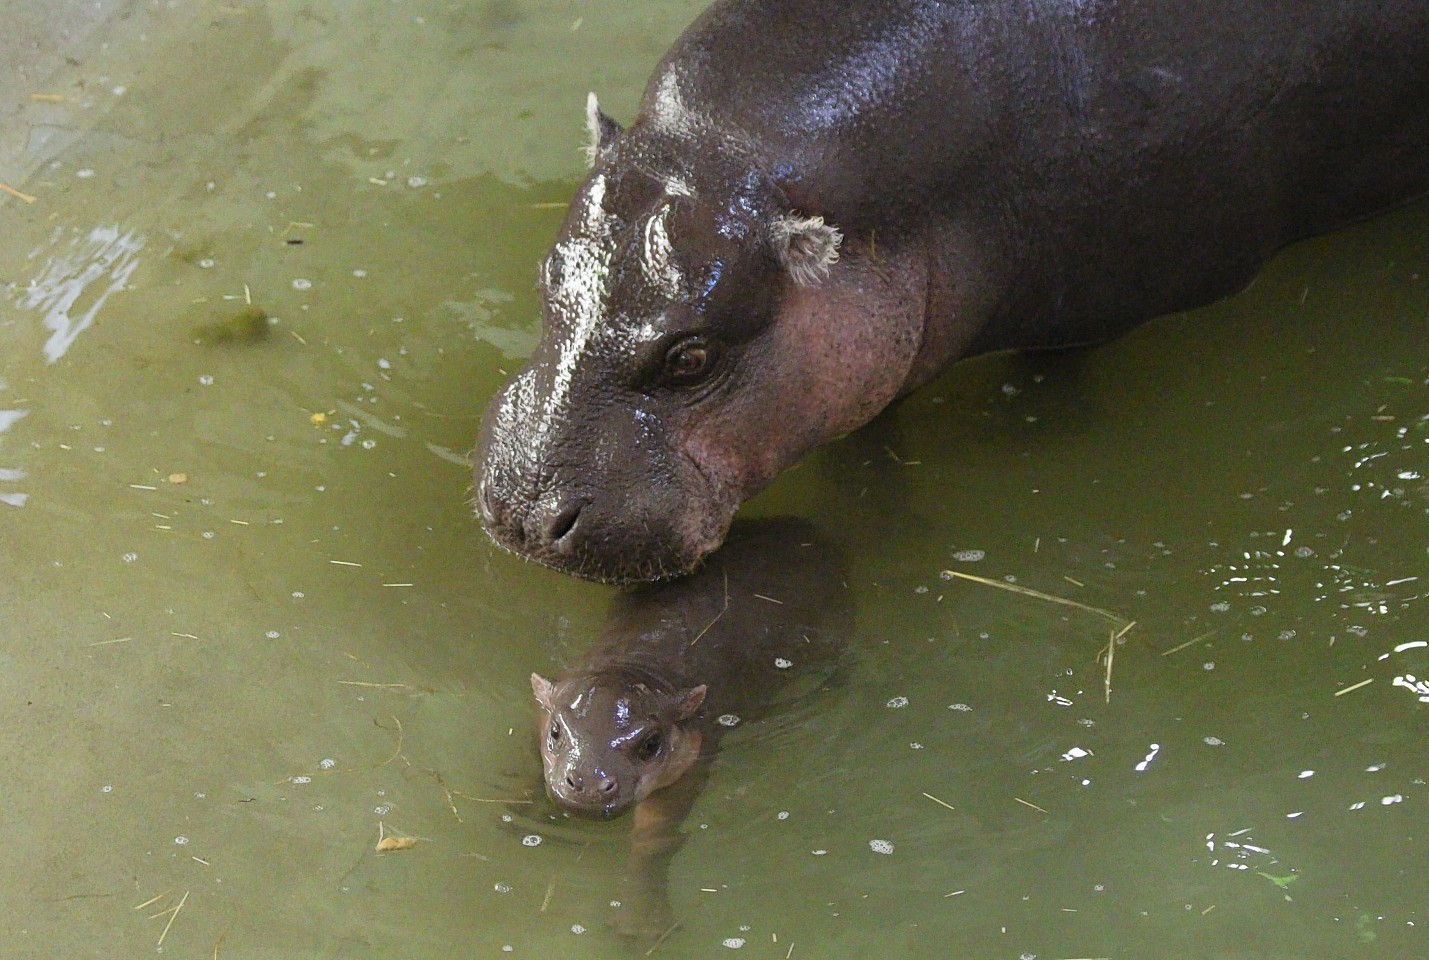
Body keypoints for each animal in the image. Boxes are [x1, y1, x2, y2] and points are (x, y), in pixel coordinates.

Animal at [480, 0, 1429, 580]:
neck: (729, 151)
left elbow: (1050, 385)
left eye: (692, 357)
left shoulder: (1097, 311)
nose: (524, 513)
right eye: (545, 276)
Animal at [531, 520, 851, 931]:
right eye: (556, 731)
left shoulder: (689, 762)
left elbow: (656, 836)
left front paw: (643, 924)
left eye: (651, 743)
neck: (635, 666)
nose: (587, 784)